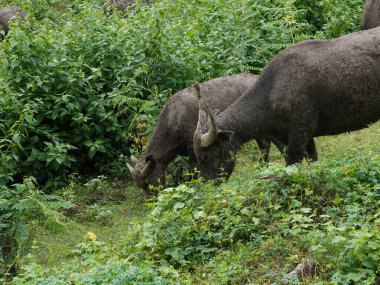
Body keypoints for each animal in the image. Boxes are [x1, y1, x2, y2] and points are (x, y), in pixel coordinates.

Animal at [127, 73, 284, 193]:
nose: (153, 199)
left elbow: (192, 172)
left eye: (148, 182)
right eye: (140, 186)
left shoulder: (193, 150)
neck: (174, 118)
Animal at [193, 27, 380, 180]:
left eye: (205, 156)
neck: (271, 92)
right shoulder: (302, 138)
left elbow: (292, 166)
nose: (209, 184)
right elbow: (313, 160)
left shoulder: (299, 134)